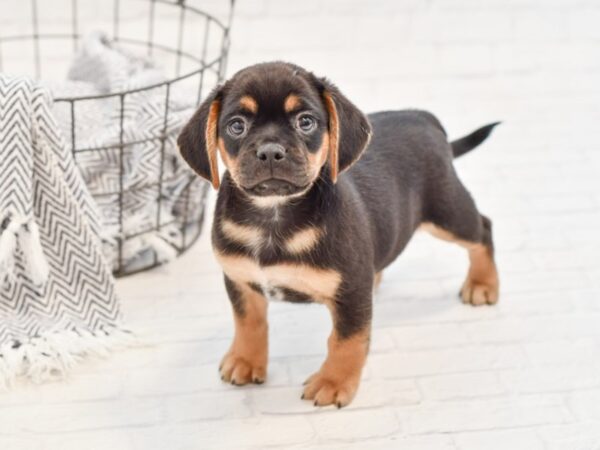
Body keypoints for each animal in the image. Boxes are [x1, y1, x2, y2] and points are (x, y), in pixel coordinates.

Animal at [178, 61, 502, 410]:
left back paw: (482, 284)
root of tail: (424, 118)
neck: (273, 217)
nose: (270, 152)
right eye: (236, 126)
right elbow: (249, 322)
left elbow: (347, 341)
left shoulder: (351, 292)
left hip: (448, 214)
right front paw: (246, 361)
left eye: (305, 121)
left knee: (483, 229)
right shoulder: (240, 280)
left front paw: (333, 383)